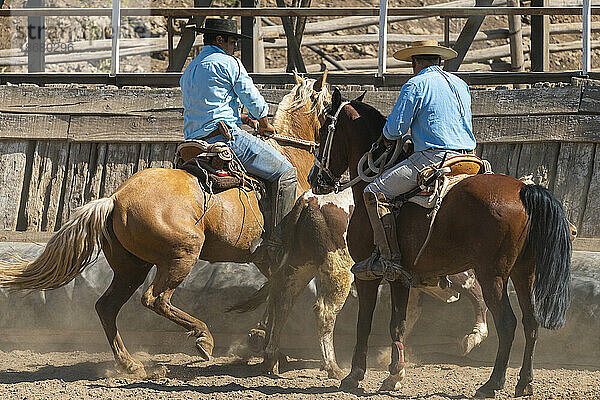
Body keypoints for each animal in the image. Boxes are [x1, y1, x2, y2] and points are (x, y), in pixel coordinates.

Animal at [0, 73, 332, 376]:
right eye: (331, 107)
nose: (328, 176)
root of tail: (116, 198)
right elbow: (280, 294)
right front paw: (269, 351)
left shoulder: (265, 259)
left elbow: (274, 292)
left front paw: (264, 343)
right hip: (181, 256)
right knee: (156, 299)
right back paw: (203, 338)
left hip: (131, 267)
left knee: (107, 307)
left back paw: (131, 365)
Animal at [310, 90, 572, 396]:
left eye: (323, 131)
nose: (315, 179)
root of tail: (524, 191)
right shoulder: (400, 276)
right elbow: (397, 324)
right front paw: (394, 375)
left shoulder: (367, 275)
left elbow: (364, 323)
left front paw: (354, 375)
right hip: (523, 272)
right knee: (531, 323)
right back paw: (524, 383)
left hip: (492, 275)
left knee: (507, 324)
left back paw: (491, 384)